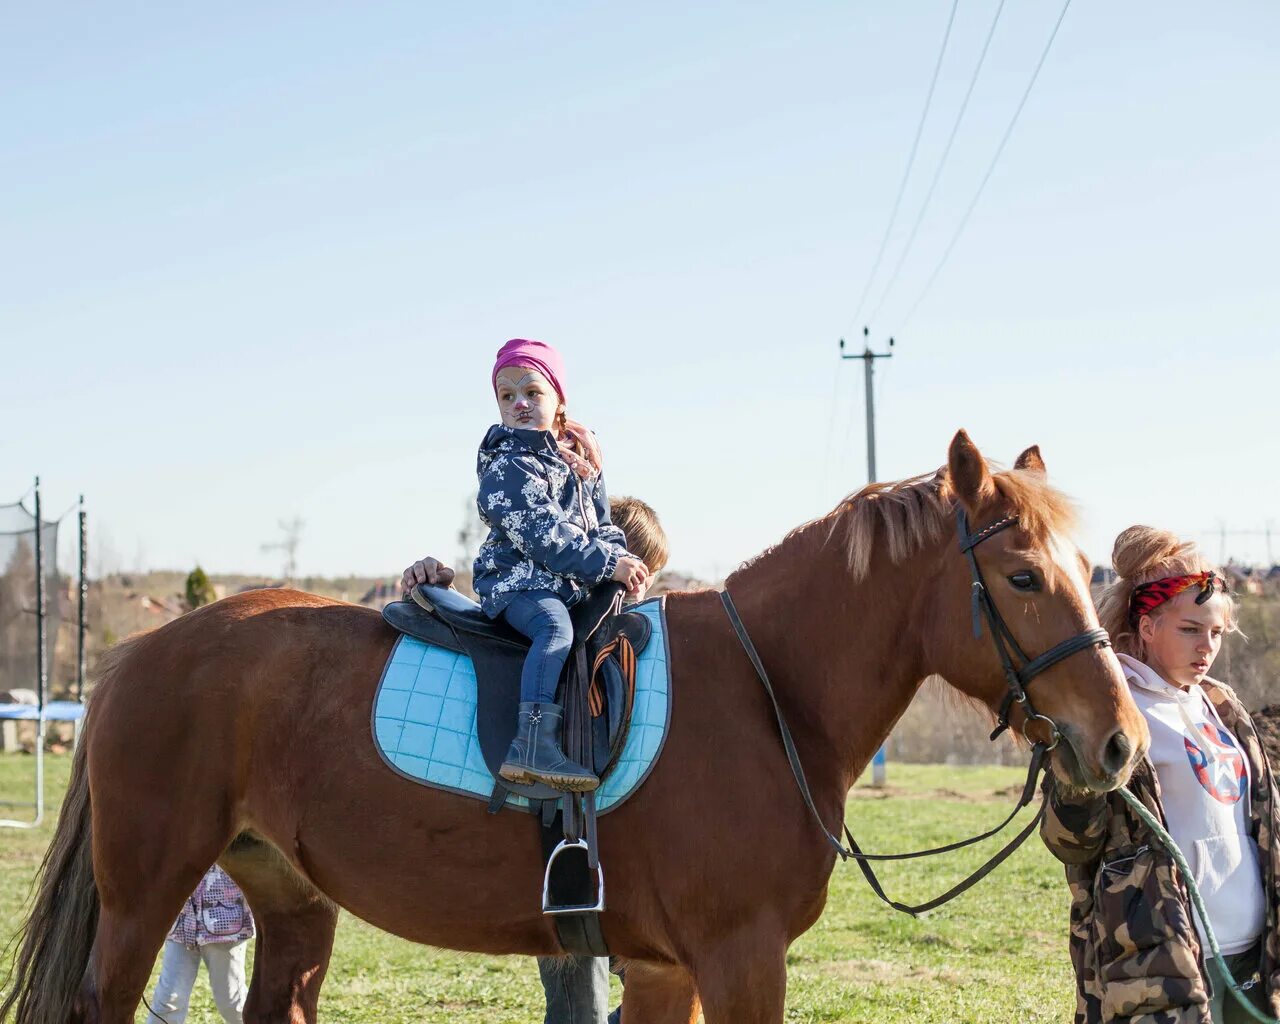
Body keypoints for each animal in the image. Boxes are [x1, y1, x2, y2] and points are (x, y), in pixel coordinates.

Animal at [5, 432, 1152, 1024]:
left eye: (1079, 566)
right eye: (1020, 576)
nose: (1119, 743)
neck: (769, 691)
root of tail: (136, 657)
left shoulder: (662, 968)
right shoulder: (739, 960)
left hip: (286, 896)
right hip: (145, 894)